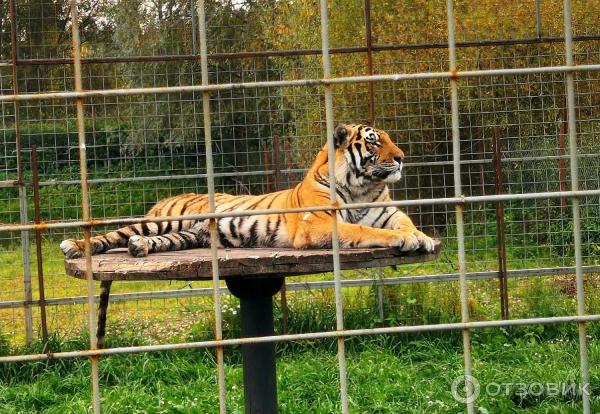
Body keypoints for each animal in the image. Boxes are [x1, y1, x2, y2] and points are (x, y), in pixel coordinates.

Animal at [61, 123, 434, 258]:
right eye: (374, 141)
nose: (401, 157)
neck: (362, 188)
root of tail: (165, 197)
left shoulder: (388, 211)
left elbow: (404, 223)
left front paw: (422, 237)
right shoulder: (316, 223)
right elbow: (360, 230)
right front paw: (402, 240)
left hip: (188, 234)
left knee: (154, 241)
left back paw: (140, 247)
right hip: (161, 221)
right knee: (114, 235)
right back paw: (75, 246)